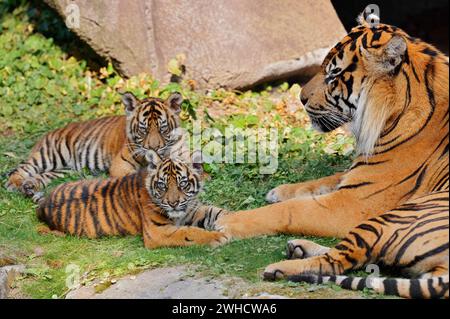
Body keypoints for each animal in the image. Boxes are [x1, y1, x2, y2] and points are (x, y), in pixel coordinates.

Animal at [4, 92, 182, 202]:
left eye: (163, 129)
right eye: (143, 129)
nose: (154, 148)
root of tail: (51, 131)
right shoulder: (119, 165)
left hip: (65, 170)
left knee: (42, 175)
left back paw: (30, 185)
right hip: (48, 155)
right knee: (20, 170)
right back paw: (15, 185)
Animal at [37, 151, 230, 250]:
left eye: (182, 183)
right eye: (162, 185)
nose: (173, 203)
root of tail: (44, 203)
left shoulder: (189, 210)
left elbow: (215, 211)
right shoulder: (157, 232)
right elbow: (189, 232)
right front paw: (217, 237)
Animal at [216, 13, 448, 298]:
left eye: (334, 74)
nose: (301, 98)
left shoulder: (353, 203)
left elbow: (290, 210)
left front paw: (226, 221)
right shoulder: (356, 177)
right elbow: (325, 180)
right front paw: (278, 190)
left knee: (342, 260)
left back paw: (279, 267)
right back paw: (298, 248)